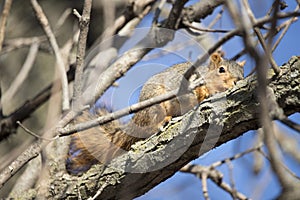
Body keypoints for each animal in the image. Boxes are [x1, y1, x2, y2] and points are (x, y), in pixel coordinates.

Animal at [65, 53, 244, 175]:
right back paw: (163, 121)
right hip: (155, 105)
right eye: (221, 70)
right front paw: (204, 96)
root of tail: (138, 117)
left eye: (242, 73)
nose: (238, 81)